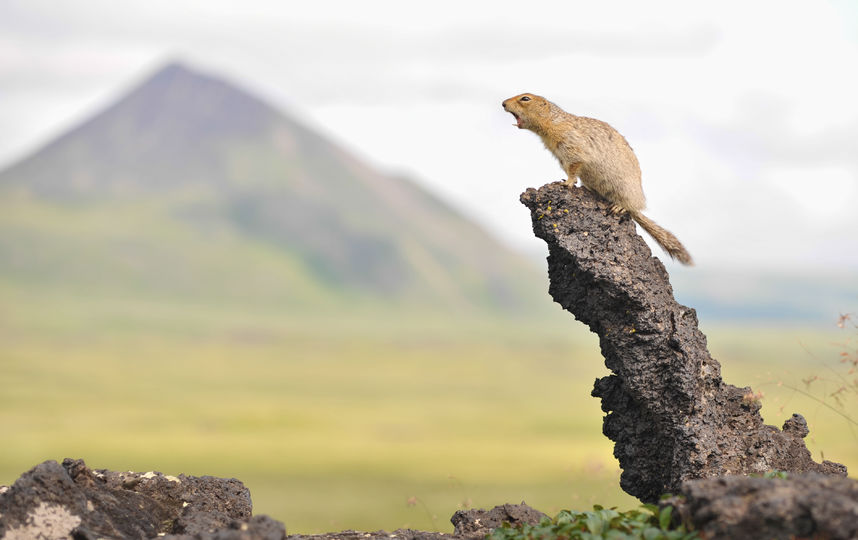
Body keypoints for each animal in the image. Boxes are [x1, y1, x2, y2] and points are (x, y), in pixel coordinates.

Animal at [502, 93, 688, 266]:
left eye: (526, 98)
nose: (503, 103)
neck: (552, 121)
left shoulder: (570, 142)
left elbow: (574, 164)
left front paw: (566, 182)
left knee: (629, 205)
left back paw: (620, 206)